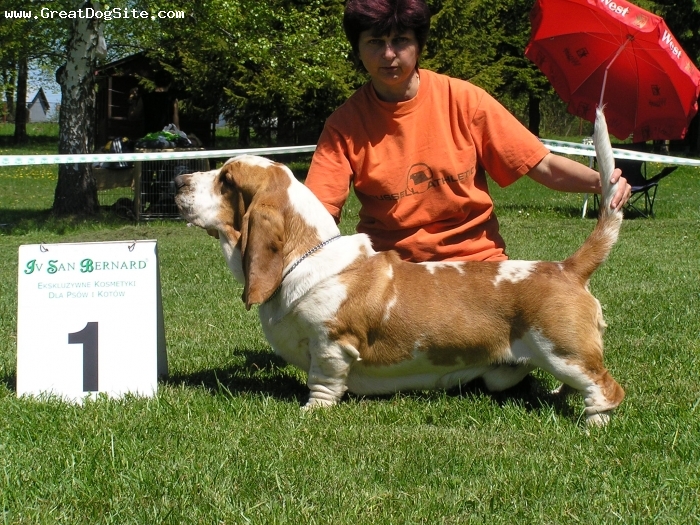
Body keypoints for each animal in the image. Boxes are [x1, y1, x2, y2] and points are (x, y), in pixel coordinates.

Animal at [178, 112, 628, 424]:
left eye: (227, 180)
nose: (179, 181)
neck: (306, 255)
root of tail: (566, 268)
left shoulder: (332, 344)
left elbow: (323, 382)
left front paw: (311, 412)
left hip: (562, 352)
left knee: (607, 388)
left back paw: (594, 423)